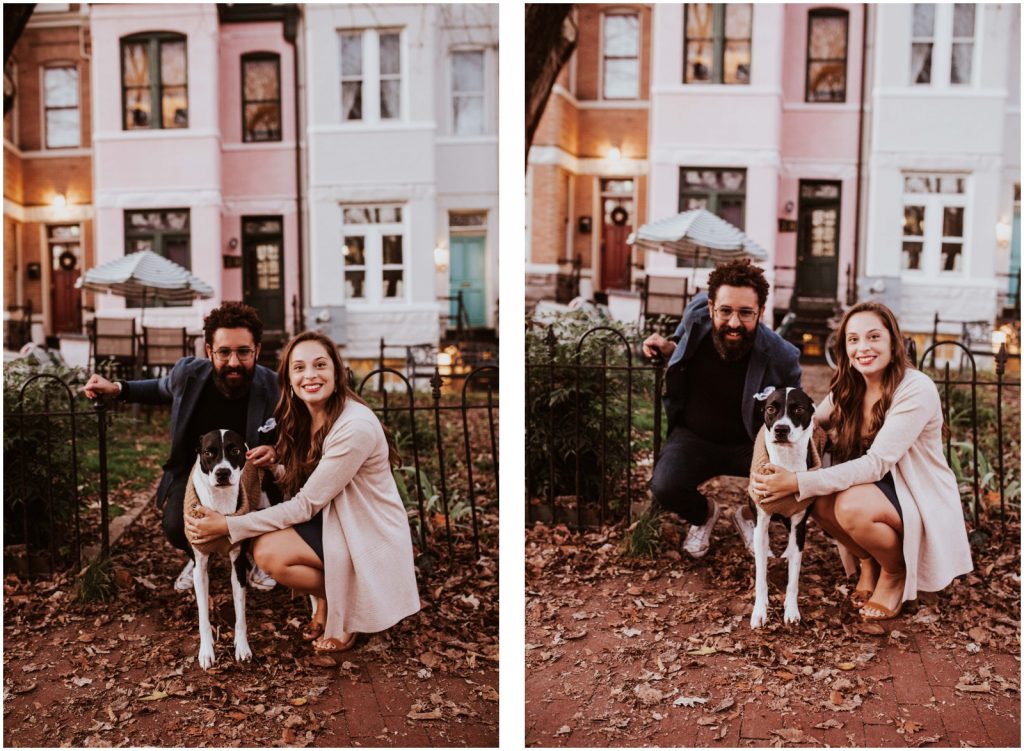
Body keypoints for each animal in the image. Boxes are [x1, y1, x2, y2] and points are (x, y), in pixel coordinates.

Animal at [183, 430, 266, 672]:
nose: (222, 472)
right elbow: (203, 615)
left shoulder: (237, 564)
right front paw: (206, 650)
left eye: (235, 450)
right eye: (209, 452)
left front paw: (242, 646)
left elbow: (241, 614)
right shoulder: (200, 567)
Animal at [745, 387, 823, 627]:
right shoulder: (761, 523)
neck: (786, 462)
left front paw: (791, 609)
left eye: (798, 409)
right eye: (771, 409)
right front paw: (759, 610)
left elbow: (794, 579)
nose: (781, 429)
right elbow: (761, 576)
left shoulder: (800, 525)